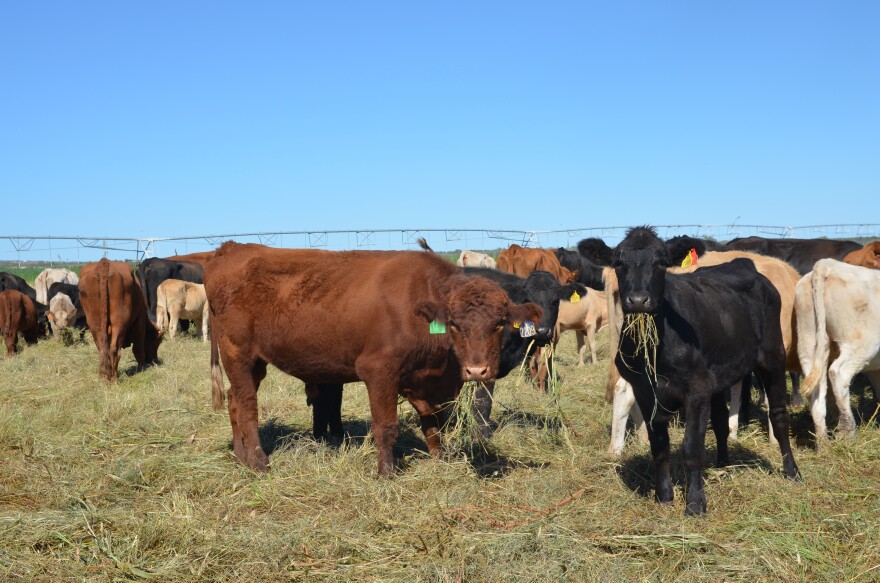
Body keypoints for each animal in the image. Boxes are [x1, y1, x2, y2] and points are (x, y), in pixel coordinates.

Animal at [205, 242, 542, 475]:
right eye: (455, 324)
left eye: (499, 323)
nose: (476, 370)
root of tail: (230, 248)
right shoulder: (379, 371)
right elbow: (386, 426)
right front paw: (386, 471)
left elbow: (432, 423)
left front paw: (439, 459)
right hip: (238, 354)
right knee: (247, 406)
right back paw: (258, 461)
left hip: (253, 363)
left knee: (234, 402)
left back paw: (240, 455)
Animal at [612, 226, 799, 515]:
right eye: (618, 263)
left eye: (661, 263)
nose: (639, 300)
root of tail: (744, 263)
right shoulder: (644, 389)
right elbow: (659, 445)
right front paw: (664, 495)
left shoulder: (696, 389)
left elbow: (692, 448)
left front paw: (695, 503)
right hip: (720, 374)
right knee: (721, 421)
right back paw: (723, 464)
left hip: (773, 356)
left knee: (779, 415)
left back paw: (791, 471)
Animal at [796, 259, 880, 440]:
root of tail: (828, 264)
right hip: (862, 343)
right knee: (838, 373)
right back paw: (847, 430)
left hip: (809, 341)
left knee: (816, 392)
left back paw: (823, 442)